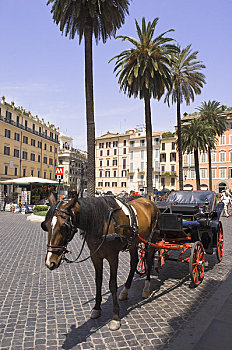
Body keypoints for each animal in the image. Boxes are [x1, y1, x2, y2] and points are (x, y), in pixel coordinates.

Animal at [41, 193, 160, 330]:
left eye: (64, 226)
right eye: (46, 226)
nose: (50, 261)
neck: (100, 223)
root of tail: (149, 202)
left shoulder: (113, 256)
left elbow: (112, 285)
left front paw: (115, 316)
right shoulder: (96, 257)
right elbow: (98, 282)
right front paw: (97, 308)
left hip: (151, 240)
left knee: (149, 260)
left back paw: (146, 288)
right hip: (133, 243)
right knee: (134, 262)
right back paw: (125, 290)